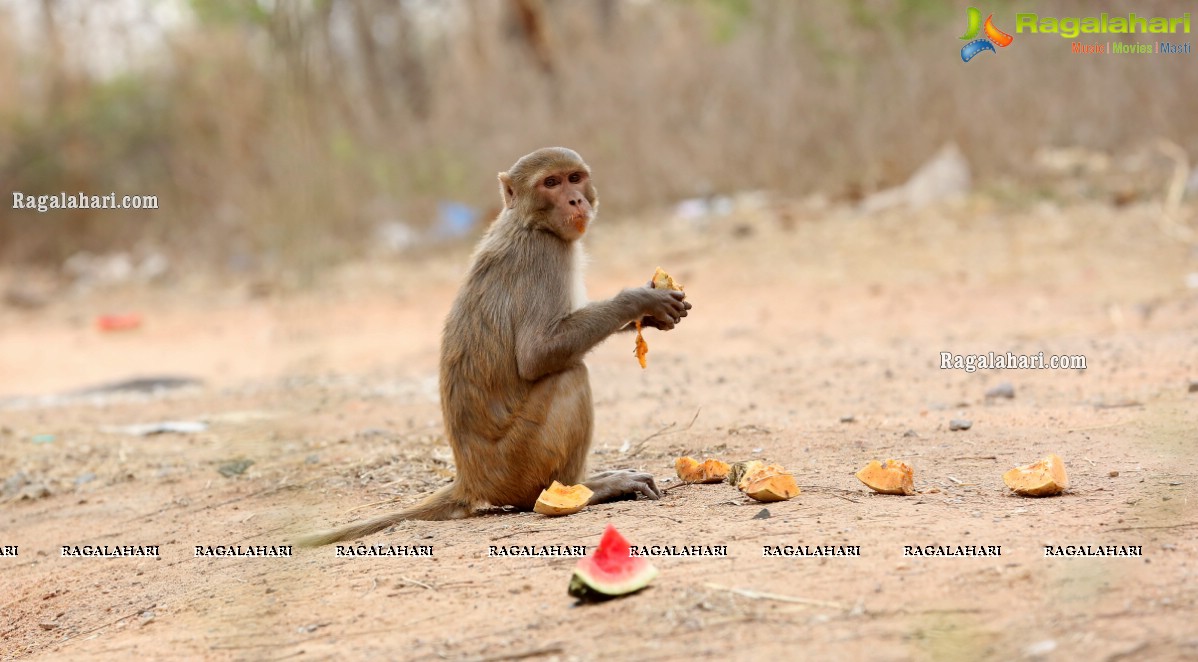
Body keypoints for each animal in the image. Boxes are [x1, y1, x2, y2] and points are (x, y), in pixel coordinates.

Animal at [297, 147, 694, 543]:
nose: (575, 199)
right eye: (552, 183)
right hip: (517, 464)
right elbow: (537, 354)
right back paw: (581, 490)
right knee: (570, 375)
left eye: (575, 178)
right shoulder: (545, 255)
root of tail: (470, 478)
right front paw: (640, 300)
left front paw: (654, 314)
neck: (529, 222)